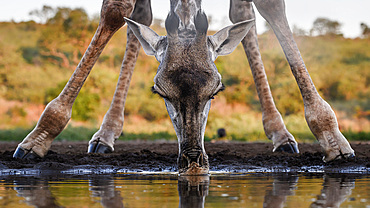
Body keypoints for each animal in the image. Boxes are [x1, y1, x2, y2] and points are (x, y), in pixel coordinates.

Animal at [13, 0, 356, 176]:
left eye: (217, 91)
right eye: (159, 91)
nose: (193, 162)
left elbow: (267, 5)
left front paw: (332, 137)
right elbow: (117, 10)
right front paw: (39, 135)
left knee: (242, 13)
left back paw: (280, 133)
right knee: (139, 16)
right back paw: (106, 132)